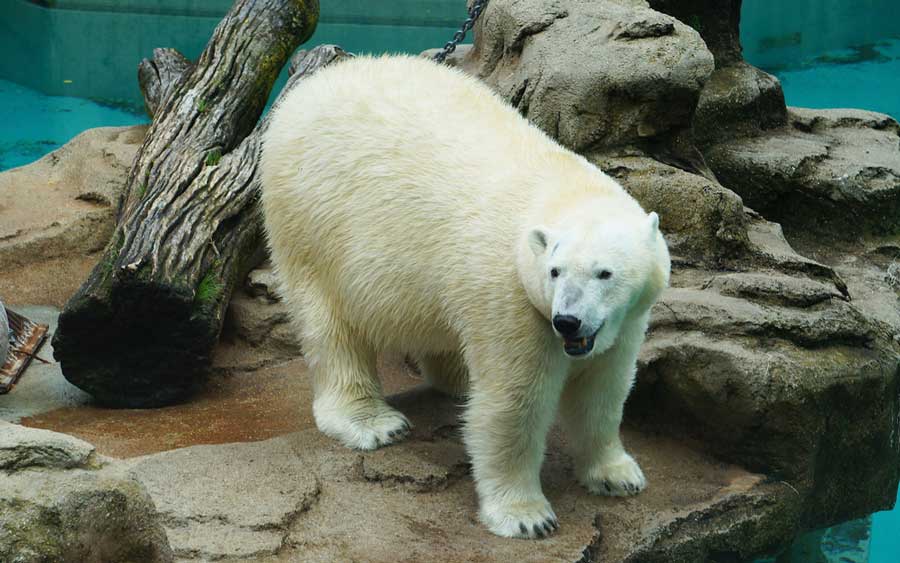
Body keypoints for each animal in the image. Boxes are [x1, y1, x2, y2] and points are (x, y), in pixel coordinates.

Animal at [259, 55, 670, 539]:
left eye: (604, 273)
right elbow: (514, 403)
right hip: (311, 219)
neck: (561, 187)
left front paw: (618, 475)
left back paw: (456, 379)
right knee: (331, 324)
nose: (567, 321)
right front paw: (526, 516)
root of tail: (307, 90)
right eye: (555, 271)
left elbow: (604, 388)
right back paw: (373, 422)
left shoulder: (625, 319)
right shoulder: (512, 296)